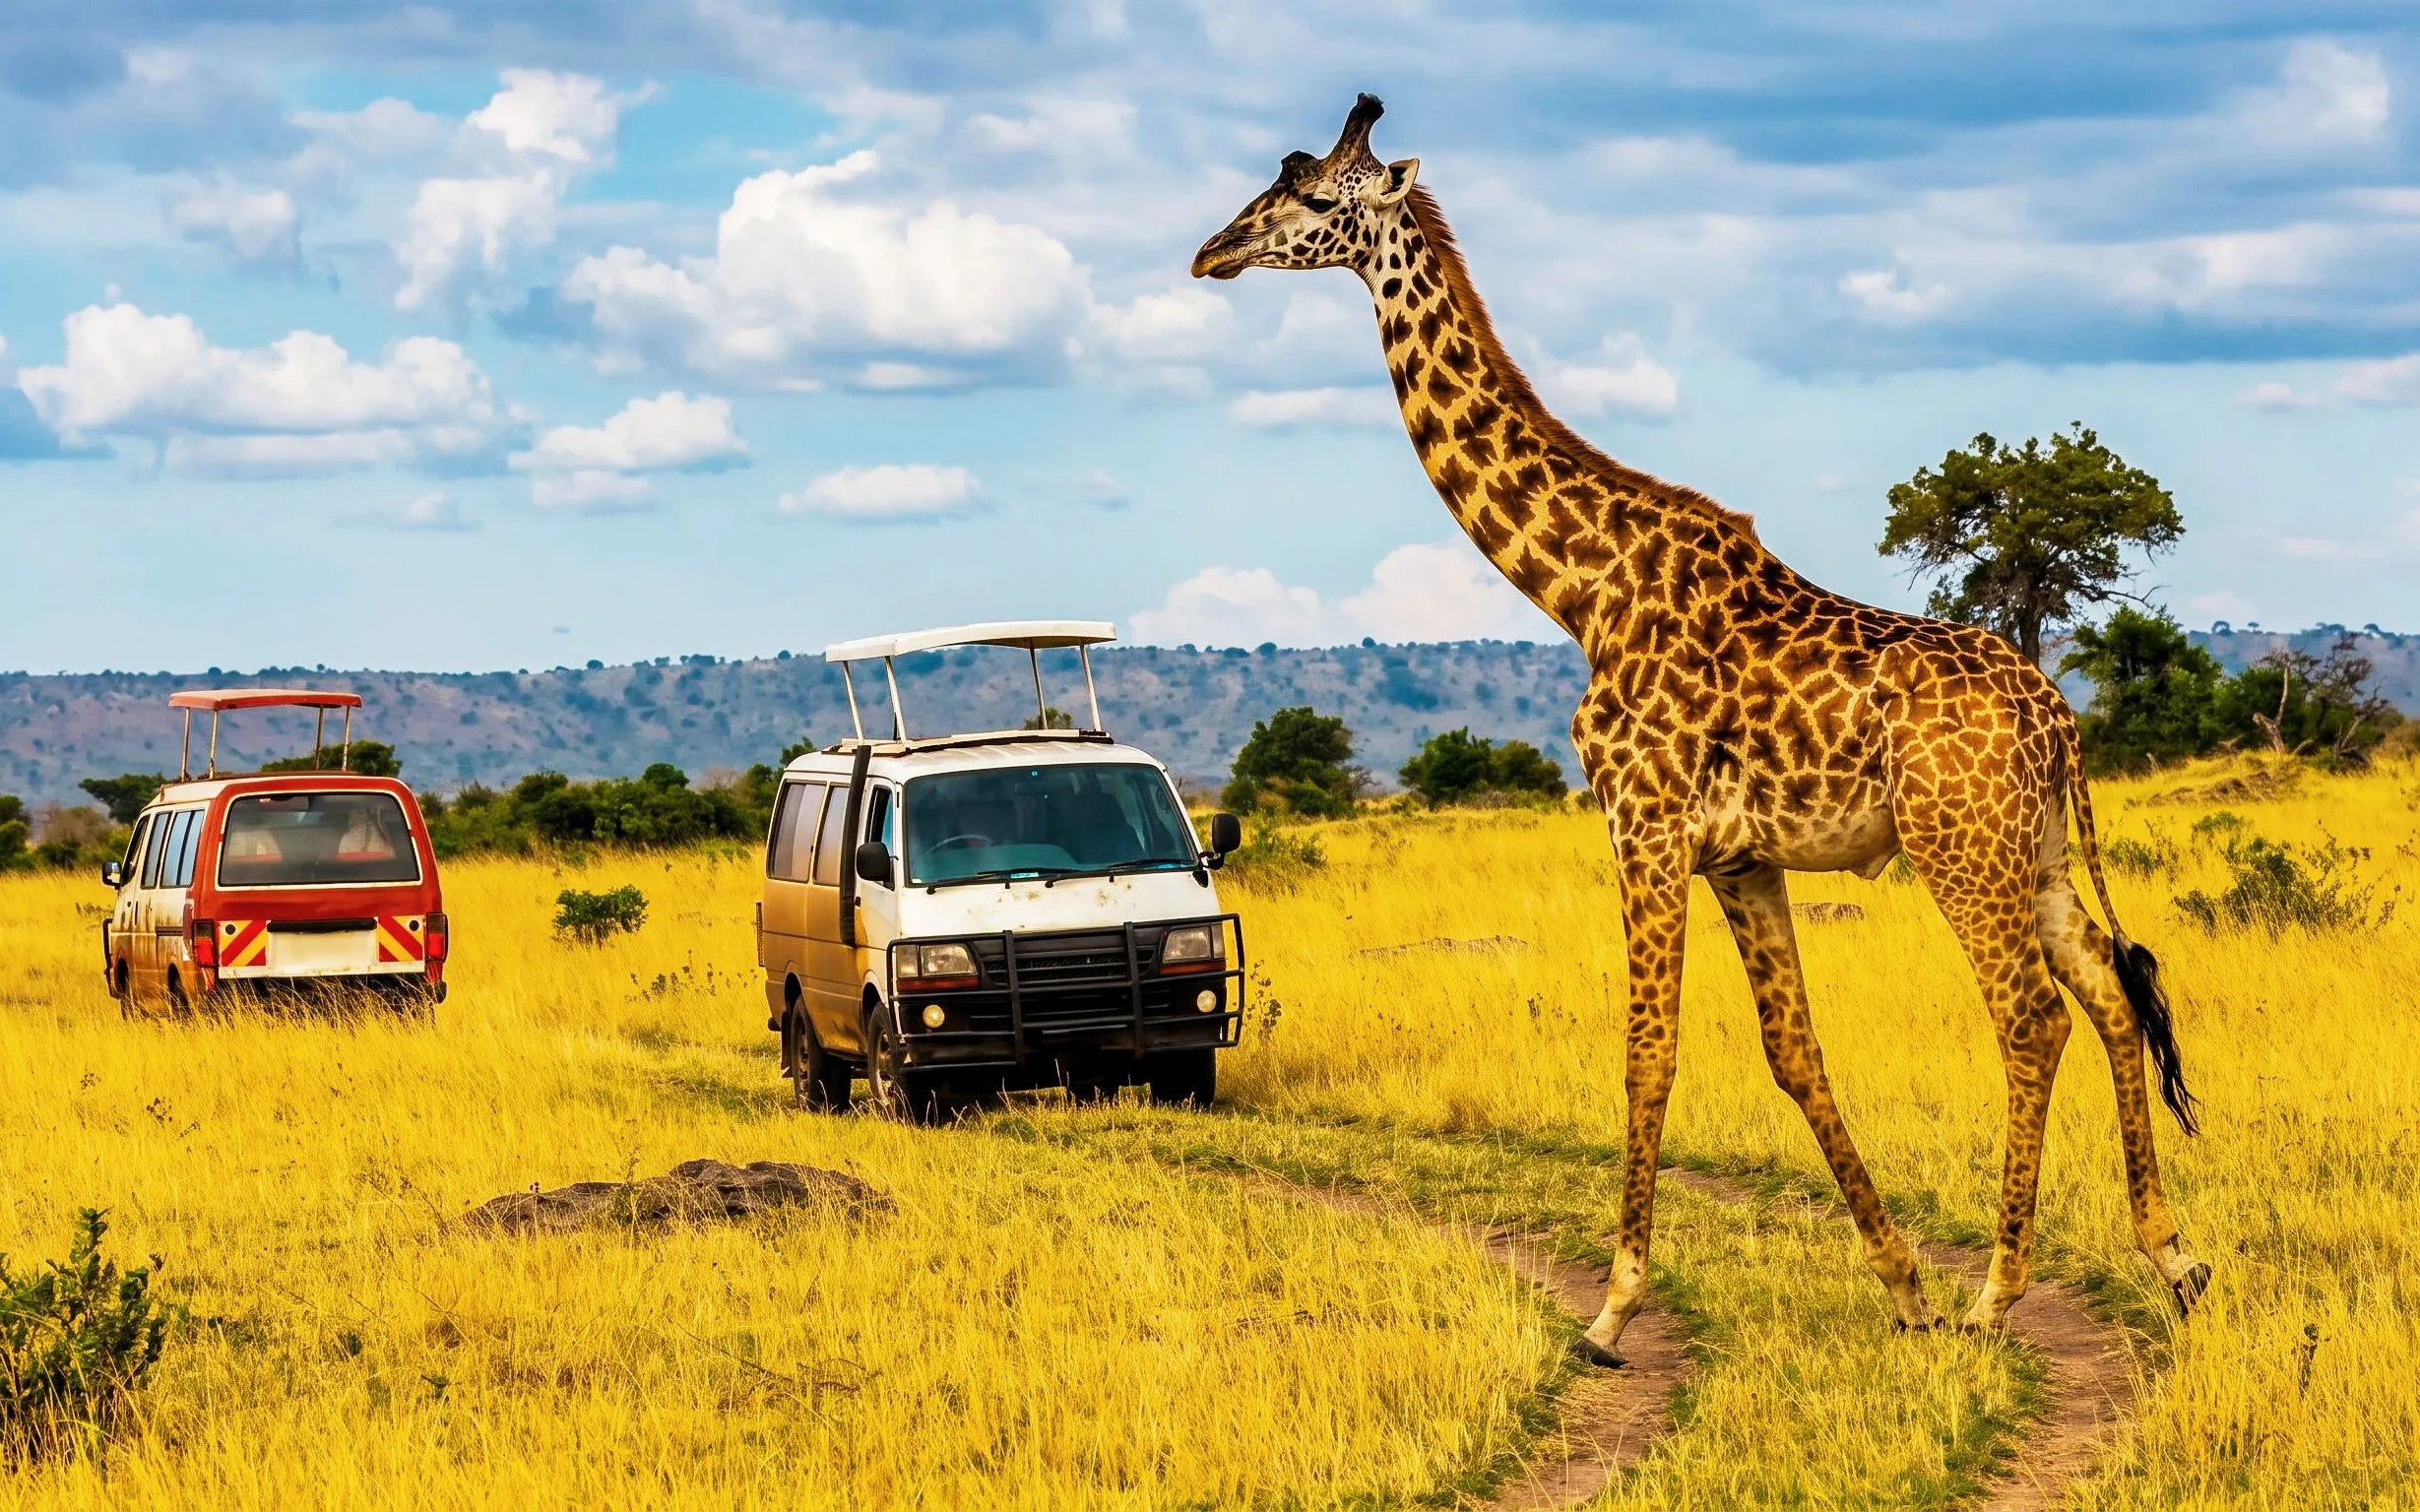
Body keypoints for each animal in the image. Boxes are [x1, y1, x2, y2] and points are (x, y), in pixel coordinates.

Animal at [1192, 95, 2213, 1363]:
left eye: (1314, 195)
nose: (1211, 251)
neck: (1578, 587)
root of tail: (2058, 718)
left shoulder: (1642, 819)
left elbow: (1647, 1046)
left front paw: (1613, 1306)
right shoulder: (1740, 857)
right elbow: (1793, 1054)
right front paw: (1902, 1286)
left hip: (1957, 849)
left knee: (2029, 1018)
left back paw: (1998, 1292)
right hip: (2037, 855)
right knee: (2114, 999)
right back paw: (2170, 1261)